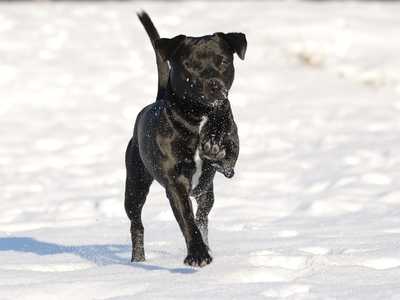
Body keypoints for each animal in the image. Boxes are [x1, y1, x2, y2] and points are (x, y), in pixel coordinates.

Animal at [125, 11, 245, 268]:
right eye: (189, 64)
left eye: (223, 61)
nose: (214, 85)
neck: (200, 115)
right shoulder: (176, 182)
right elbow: (187, 221)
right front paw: (197, 254)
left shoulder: (231, 152)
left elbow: (228, 159)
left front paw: (215, 148)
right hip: (135, 185)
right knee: (137, 224)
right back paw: (138, 260)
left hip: (206, 192)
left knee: (203, 215)